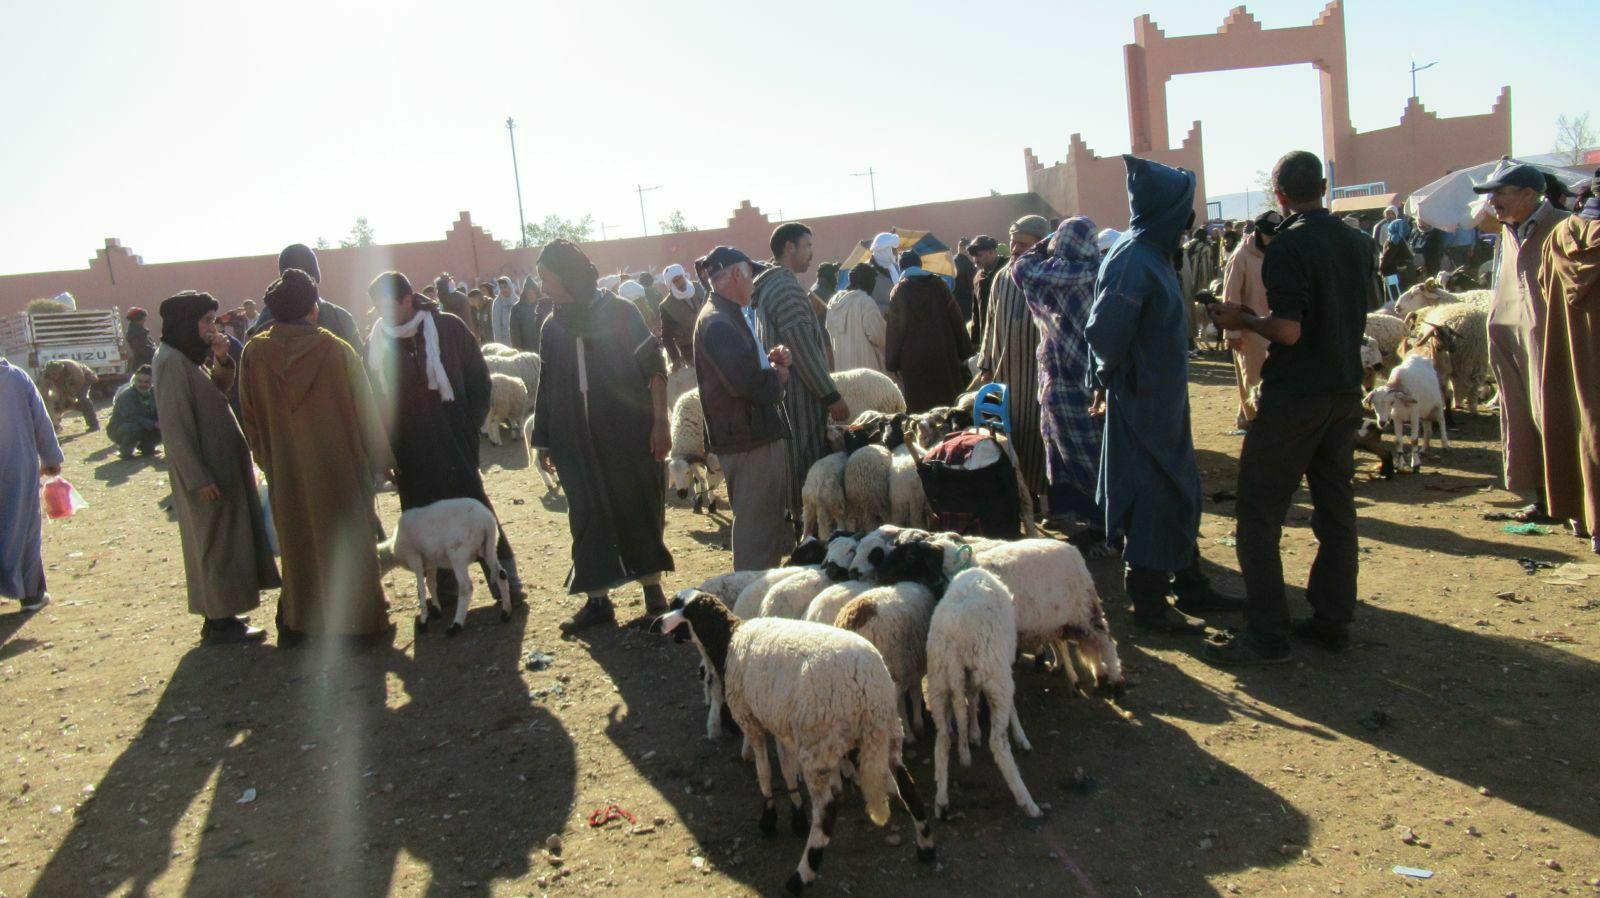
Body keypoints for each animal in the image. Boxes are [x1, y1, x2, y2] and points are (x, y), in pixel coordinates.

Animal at [374, 493, 505, 633]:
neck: (394, 551)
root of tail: (486, 520)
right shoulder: (431, 563)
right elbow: (431, 584)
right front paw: (436, 609)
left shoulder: (415, 559)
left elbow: (421, 589)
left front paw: (423, 621)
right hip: (490, 546)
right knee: (501, 574)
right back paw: (506, 612)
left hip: (458, 554)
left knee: (466, 587)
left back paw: (456, 625)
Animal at [838, 582, 934, 742]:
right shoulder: (911, 665)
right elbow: (915, 693)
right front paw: (917, 725)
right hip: (892, 664)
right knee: (895, 700)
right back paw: (906, 734)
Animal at [921, 566, 1043, 819]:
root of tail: (954, 641)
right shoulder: (1002, 665)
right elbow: (1010, 706)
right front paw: (1020, 735)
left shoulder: (972, 677)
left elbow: (972, 697)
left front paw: (974, 731)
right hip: (995, 674)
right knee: (997, 743)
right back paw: (1027, 801)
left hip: (938, 681)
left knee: (943, 738)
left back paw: (941, 801)